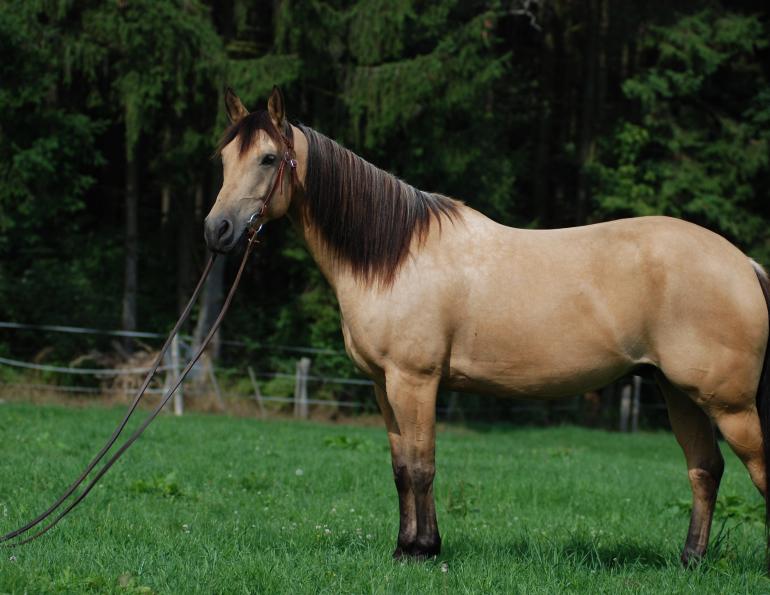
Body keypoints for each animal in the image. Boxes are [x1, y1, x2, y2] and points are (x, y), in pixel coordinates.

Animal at [204, 87, 770, 566]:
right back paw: (690, 561)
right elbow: (400, 469)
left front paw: (424, 551)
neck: (395, 257)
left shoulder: (415, 381)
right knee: (705, 469)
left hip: (730, 404)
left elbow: (422, 465)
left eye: (268, 158)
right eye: (224, 159)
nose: (217, 230)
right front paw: (404, 547)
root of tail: (743, 263)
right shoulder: (384, 385)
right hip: (679, 393)